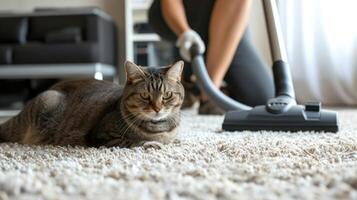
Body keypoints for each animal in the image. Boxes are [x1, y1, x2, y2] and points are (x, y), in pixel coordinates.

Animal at [0, 60, 184, 148]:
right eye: (145, 95)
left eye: (167, 95)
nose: (157, 108)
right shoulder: (101, 136)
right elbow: (131, 142)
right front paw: (151, 144)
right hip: (44, 104)